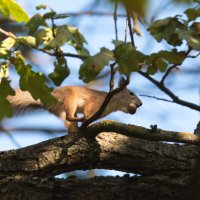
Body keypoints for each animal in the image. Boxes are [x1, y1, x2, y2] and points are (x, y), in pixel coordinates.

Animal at [7, 77, 142, 133]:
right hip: (69, 98)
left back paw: (73, 131)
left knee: (68, 121)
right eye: (131, 93)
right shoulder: (95, 101)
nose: (140, 104)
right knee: (69, 117)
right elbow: (89, 109)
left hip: (60, 110)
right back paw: (82, 120)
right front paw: (88, 119)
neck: (113, 102)